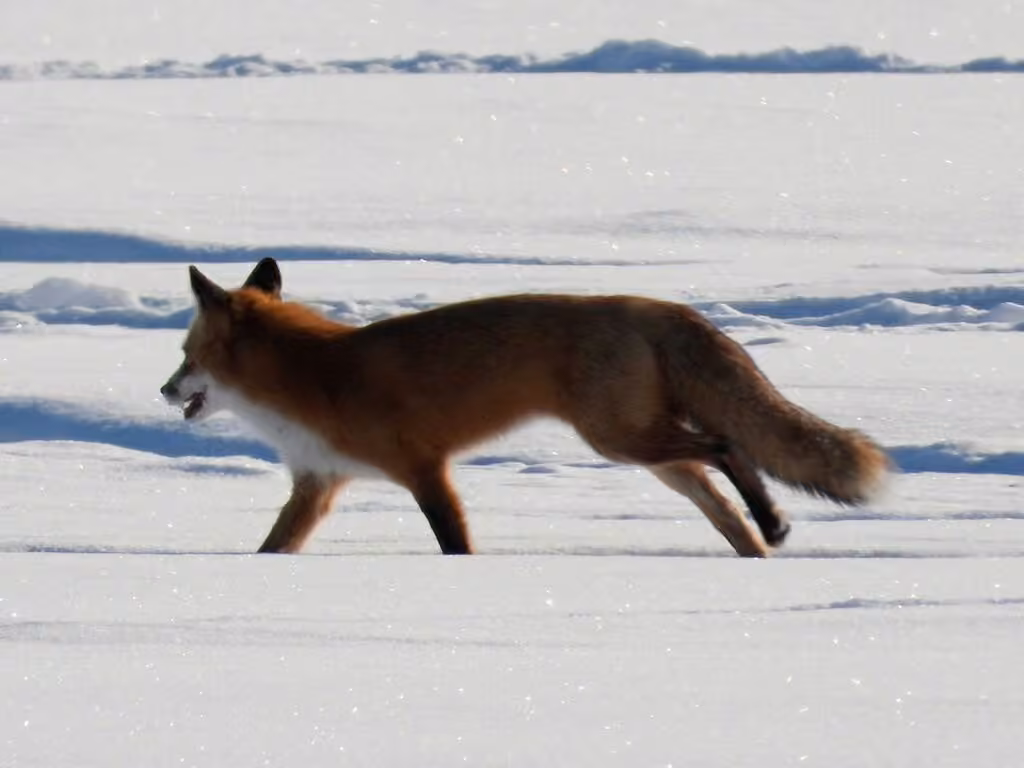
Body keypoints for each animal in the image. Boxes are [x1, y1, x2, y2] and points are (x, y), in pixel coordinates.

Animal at [161, 258, 889, 557]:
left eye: (185, 354)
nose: (164, 391)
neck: (315, 379)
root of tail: (652, 304)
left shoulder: (425, 470)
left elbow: (454, 544)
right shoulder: (319, 485)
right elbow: (271, 551)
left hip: (621, 441)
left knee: (727, 444)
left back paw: (772, 522)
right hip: (648, 453)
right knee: (723, 500)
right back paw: (761, 545)